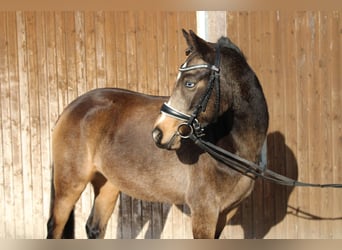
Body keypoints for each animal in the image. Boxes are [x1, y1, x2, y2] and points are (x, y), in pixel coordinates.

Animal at [46, 29, 268, 238]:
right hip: (70, 184)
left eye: (189, 83)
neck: (229, 146)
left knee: (94, 228)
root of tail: (73, 107)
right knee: (55, 226)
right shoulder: (204, 212)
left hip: (107, 183)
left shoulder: (224, 214)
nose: (159, 133)